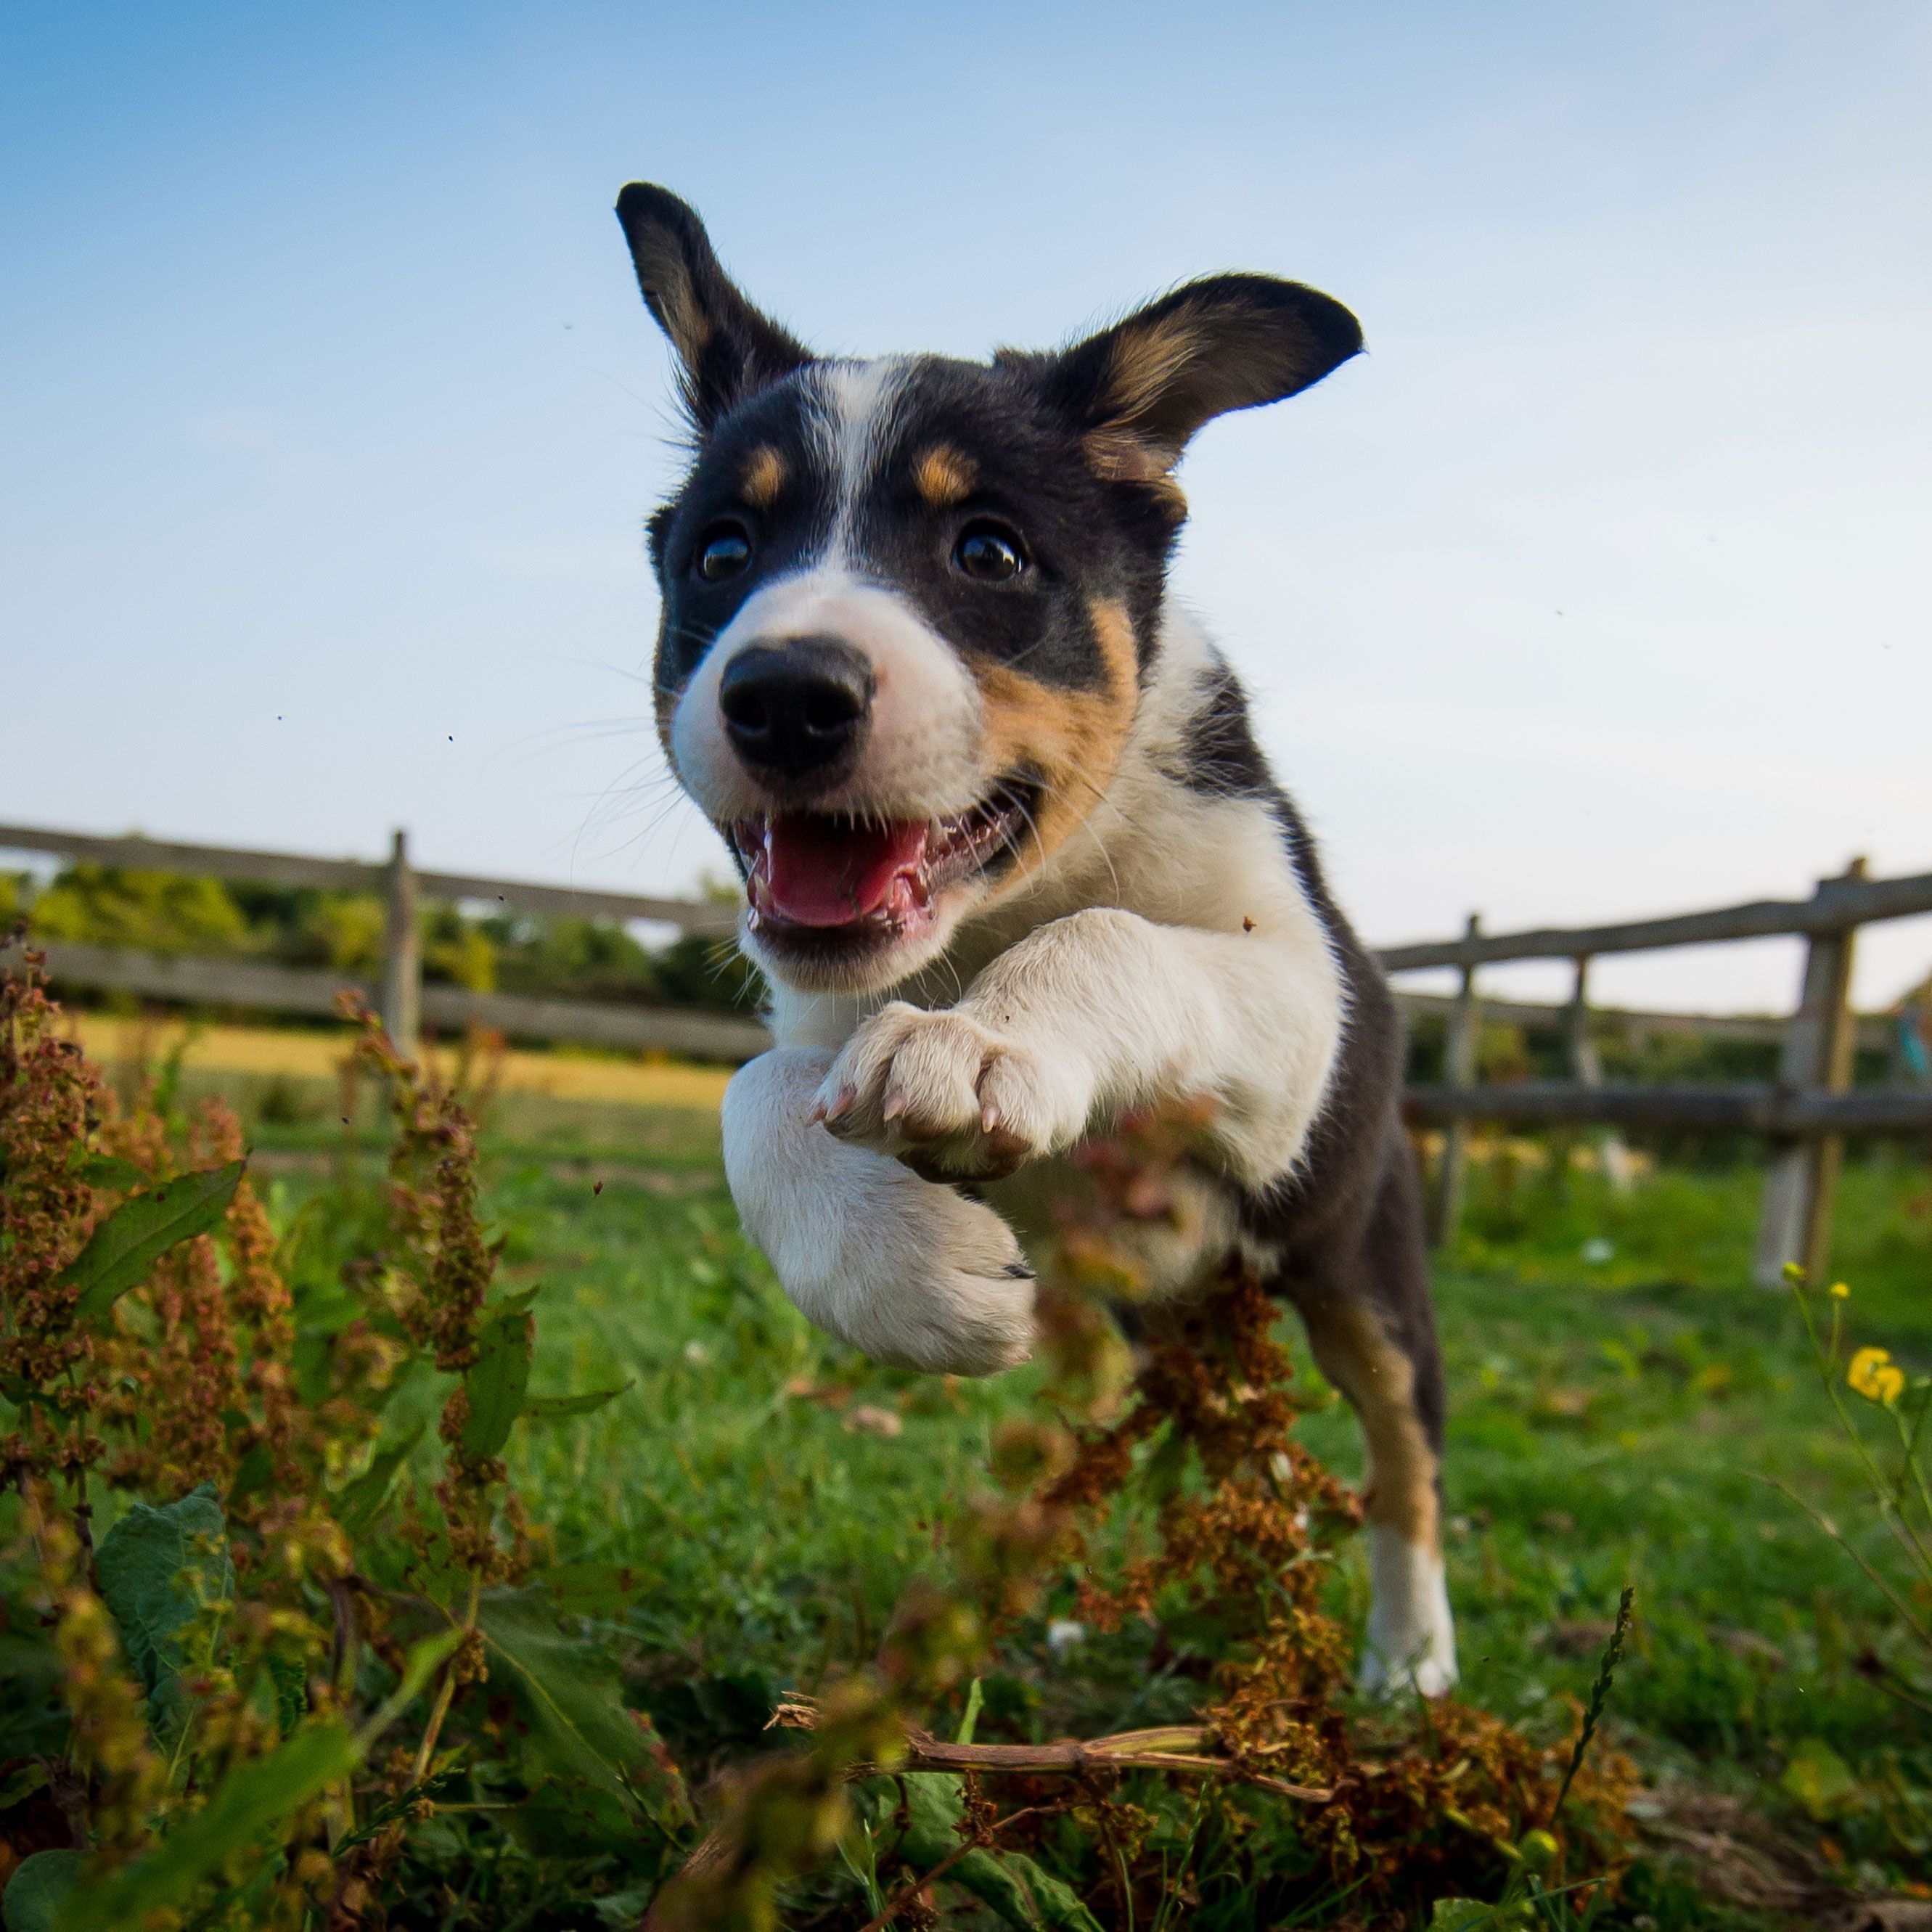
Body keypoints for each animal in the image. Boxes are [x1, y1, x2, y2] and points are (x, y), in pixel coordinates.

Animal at [614, 181, 1452, 1692]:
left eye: (988, 551)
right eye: (722, 554)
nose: (784, 696)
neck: (1005, 904)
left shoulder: (1302, 999)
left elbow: (1120, 935)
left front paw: (985, 1044)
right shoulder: (815, 1013)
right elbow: (752, 1091)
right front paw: (912, 1275)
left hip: (1361, 1265)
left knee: (1403, 1458)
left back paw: (1409, 1657)